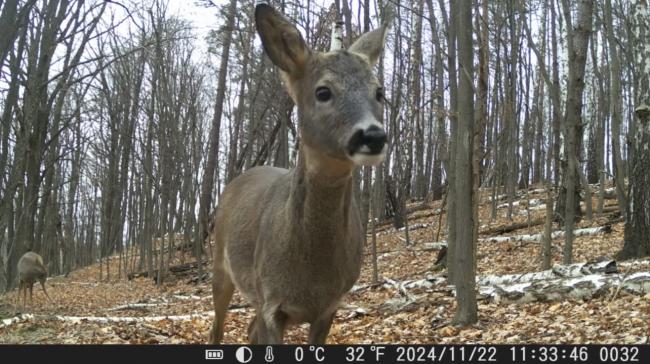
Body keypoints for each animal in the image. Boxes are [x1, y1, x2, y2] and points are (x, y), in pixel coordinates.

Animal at [210, 2, 388, 344]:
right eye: (323, 92)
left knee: (249, 330)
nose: (373, 136)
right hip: (222, 267)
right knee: (217, 327)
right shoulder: (272, 302)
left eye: (379, 92)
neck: (311, 277)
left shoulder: (330, 306)